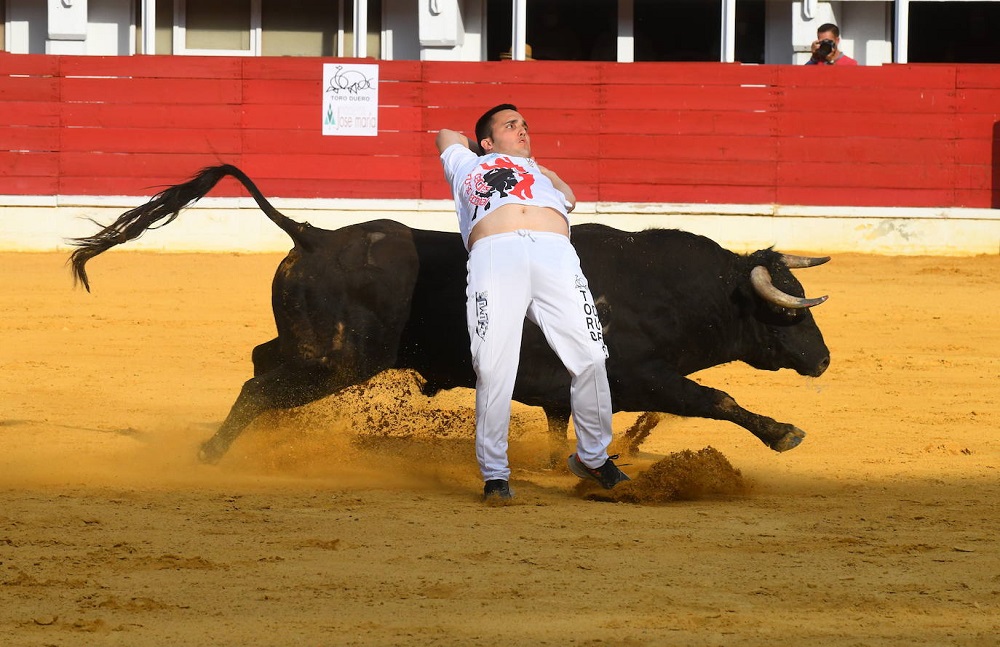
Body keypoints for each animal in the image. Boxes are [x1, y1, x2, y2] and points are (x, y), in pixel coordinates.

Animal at [70, 165, 832, 464]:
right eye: (791, 316)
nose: (824, 359)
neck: (663, 287)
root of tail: (311, 234)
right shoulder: (643, 374)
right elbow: (715, 397)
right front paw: (785, 433)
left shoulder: (564, 386)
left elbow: (562, 424)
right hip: (338, 361)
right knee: (260, 387)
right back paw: (211, 453)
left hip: (309, 347)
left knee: (260, 365)